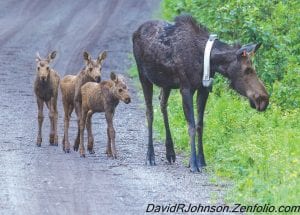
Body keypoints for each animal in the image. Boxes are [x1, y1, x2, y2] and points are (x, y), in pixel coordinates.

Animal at [132, 15, 268, 172]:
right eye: (247, 70)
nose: (264, 99)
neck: (208, 61)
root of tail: (135, 32)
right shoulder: (186, 88)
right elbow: (191, 125)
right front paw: (193, 163)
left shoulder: (203, 89)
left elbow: (200, 125)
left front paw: (201, 160)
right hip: (143, 75)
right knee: (149, 111)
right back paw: (150, 156)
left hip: (166, 83)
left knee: (162, 104)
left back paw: (170, 152)